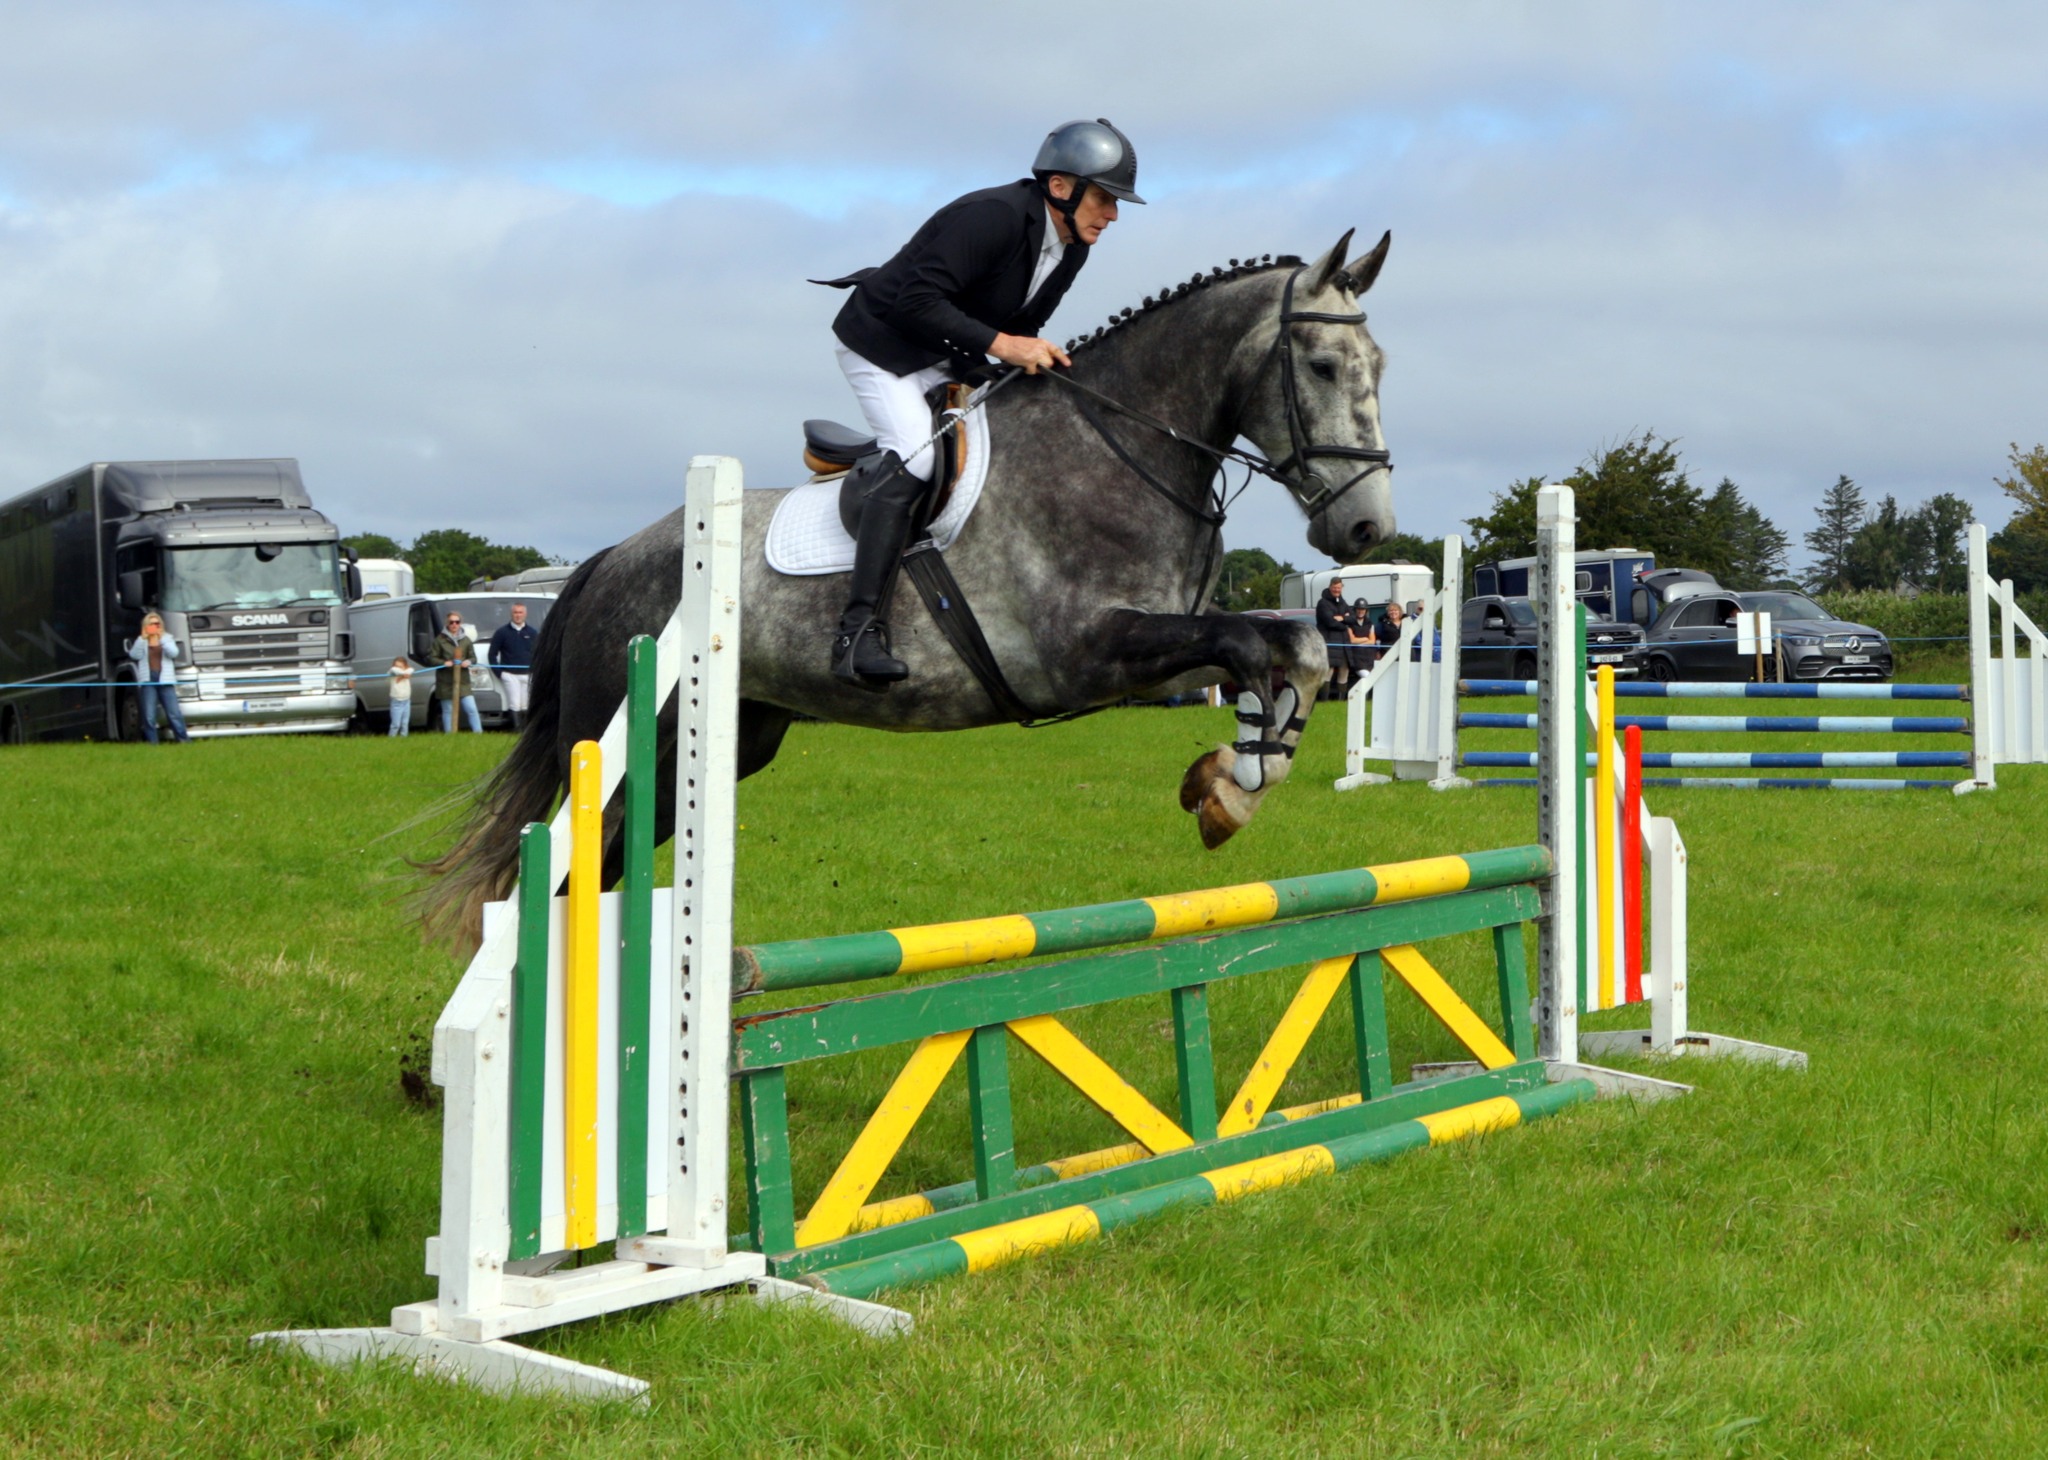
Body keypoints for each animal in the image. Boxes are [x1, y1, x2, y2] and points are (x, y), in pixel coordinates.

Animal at [421, 228, 1398, 949]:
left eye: (1379, 368)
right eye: (1320, 366)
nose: (1366, 530)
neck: (1122, 447)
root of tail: (609, 560)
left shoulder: (1159, 651)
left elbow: (1289, 648)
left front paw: (1234, 781)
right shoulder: (1085, 654)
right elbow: (1249, 644)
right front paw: (1238, 780)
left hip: (721, 745)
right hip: (618, 739)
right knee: (562, 873)